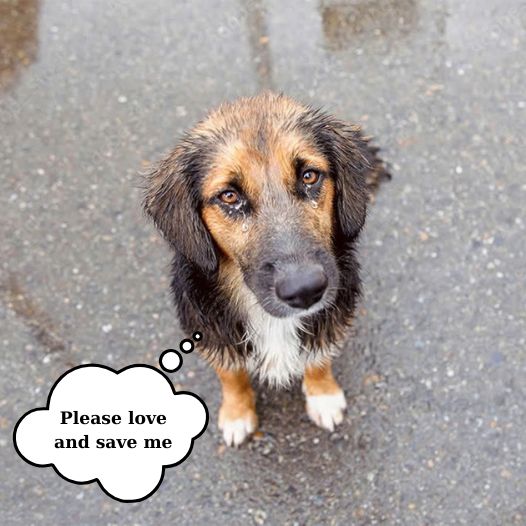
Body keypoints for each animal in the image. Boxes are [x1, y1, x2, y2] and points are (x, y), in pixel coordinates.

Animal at [142, 94, 390, 446]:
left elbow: (319, 358)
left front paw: (323, 395)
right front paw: (236, 414)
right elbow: (231, 375)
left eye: (309, 176)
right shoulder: (210, 332)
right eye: (229, 196)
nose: (305, 290)